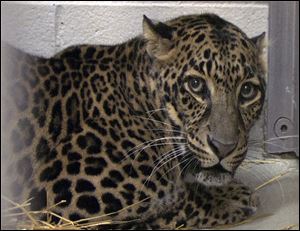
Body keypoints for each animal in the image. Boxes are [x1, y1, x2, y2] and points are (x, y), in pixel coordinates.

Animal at [1, 14, 266, 229]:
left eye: (247, 91)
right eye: (195, 85)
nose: (224, 147)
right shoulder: (63, 197)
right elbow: (181, 200)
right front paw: (232, 198)